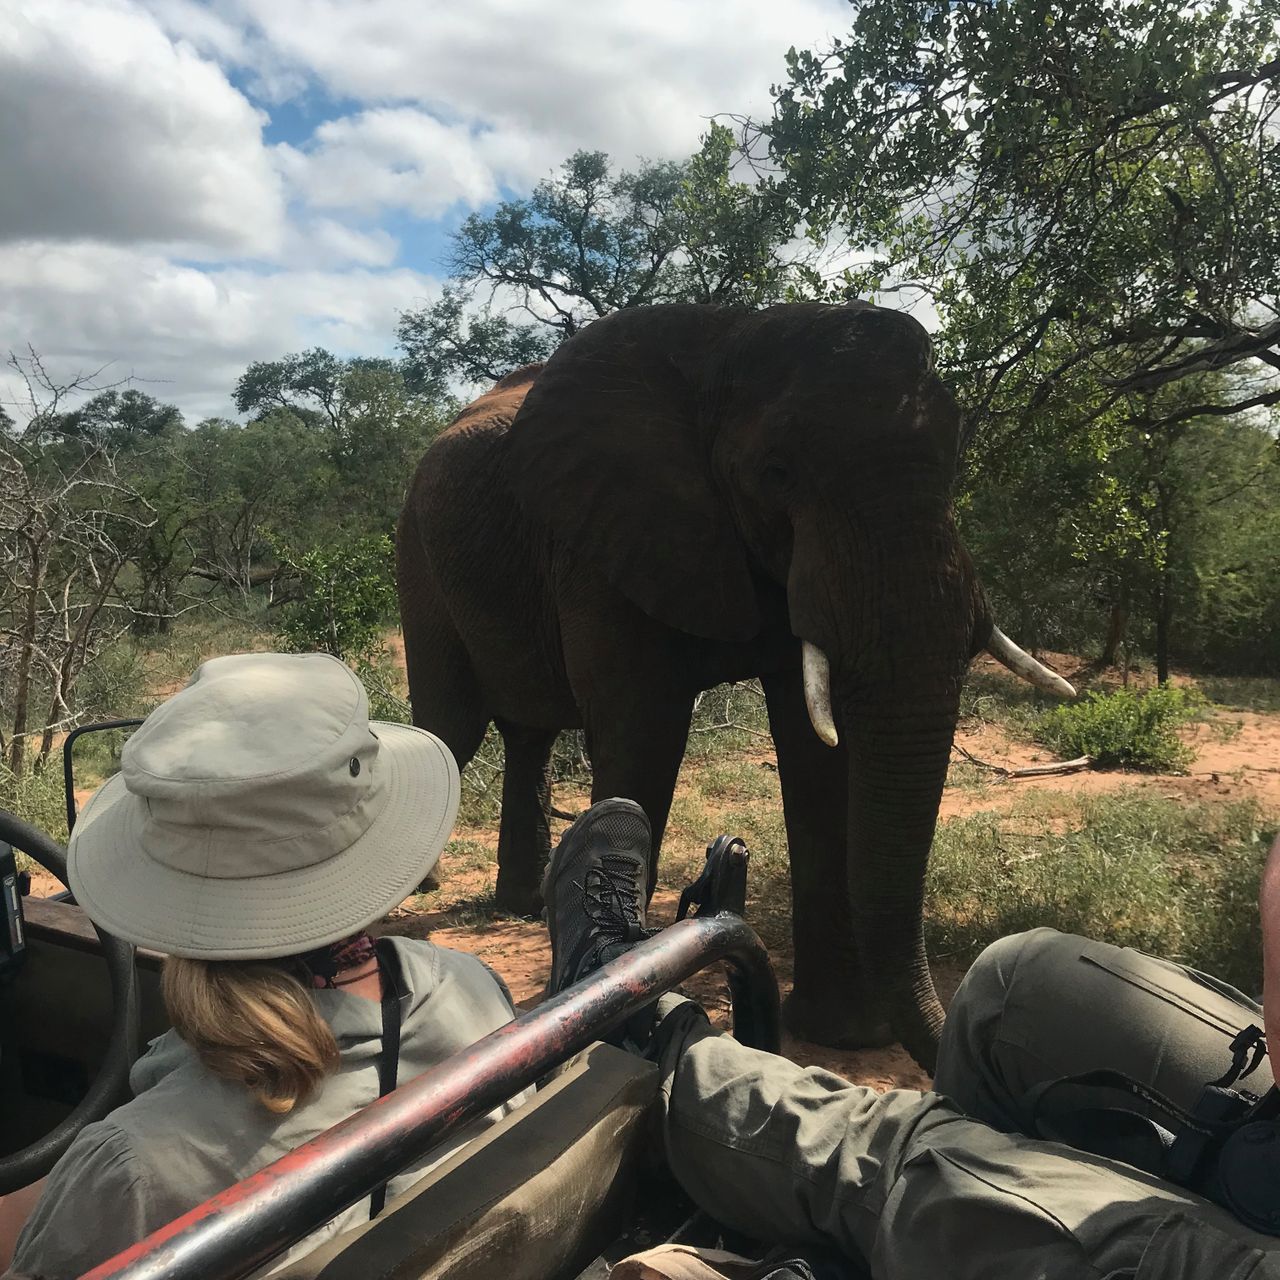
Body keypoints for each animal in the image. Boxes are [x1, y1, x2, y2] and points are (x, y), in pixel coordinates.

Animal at [395, 302, 1073, 1068]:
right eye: (776, 473)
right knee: (450, 731)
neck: (729, 342)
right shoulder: (602, 535)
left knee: (526, 734)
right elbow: (645, 731)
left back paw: (523, 909)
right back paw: (427, 886)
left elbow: (819, 751)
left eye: (956, 459)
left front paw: (842, 1035)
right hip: (417, 556)